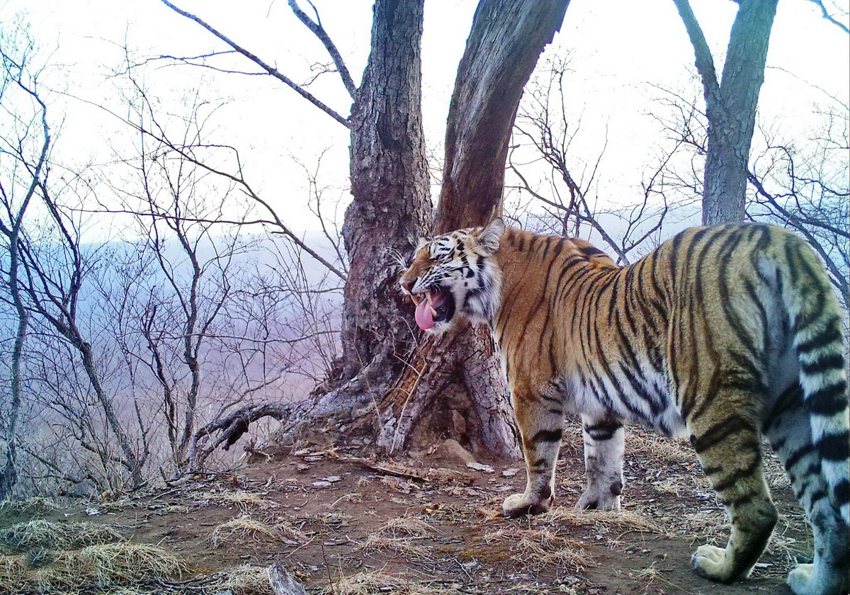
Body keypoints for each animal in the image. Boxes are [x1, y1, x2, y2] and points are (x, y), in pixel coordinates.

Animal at [400, 219, 848, 595]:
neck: (500, 279)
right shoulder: (601, 400)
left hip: (711, 397)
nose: (404, 284)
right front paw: (599, 509)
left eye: (437, 255)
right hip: (795, 409)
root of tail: (781, 239)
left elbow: (539, 456)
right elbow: (603, 458)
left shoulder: (531, 390)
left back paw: (719, 567)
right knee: (830, 513)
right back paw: (814, 582)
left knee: (757, 509)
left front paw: (529, 505)